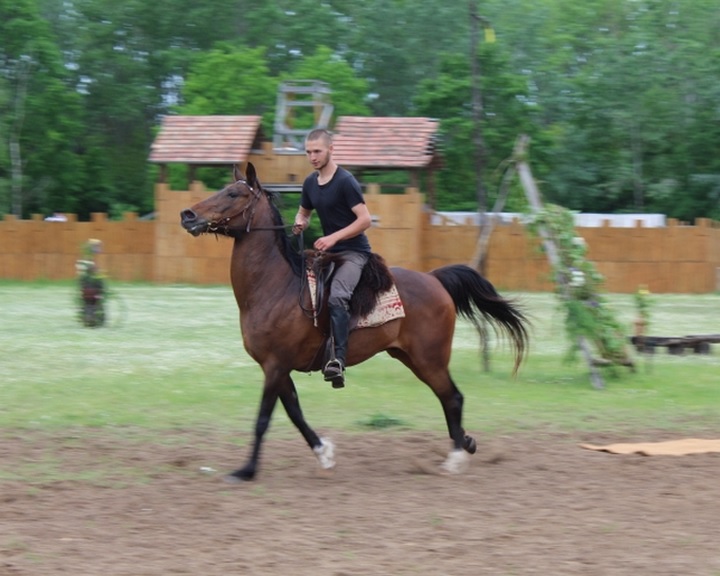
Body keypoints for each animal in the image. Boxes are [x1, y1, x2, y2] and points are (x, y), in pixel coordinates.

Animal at [180, 163, 528, 482]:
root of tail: (434, 279)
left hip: (429, 359)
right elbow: (295, 413)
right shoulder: (278, 368)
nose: (187, 214)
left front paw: (247, 470)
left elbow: (263, 419)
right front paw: (324, 453)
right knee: (448, 398)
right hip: (412, 358)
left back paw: (456, 457)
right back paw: (465, 443)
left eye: (233, 194)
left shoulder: (275, 365)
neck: (276, 286)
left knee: (453, 397)